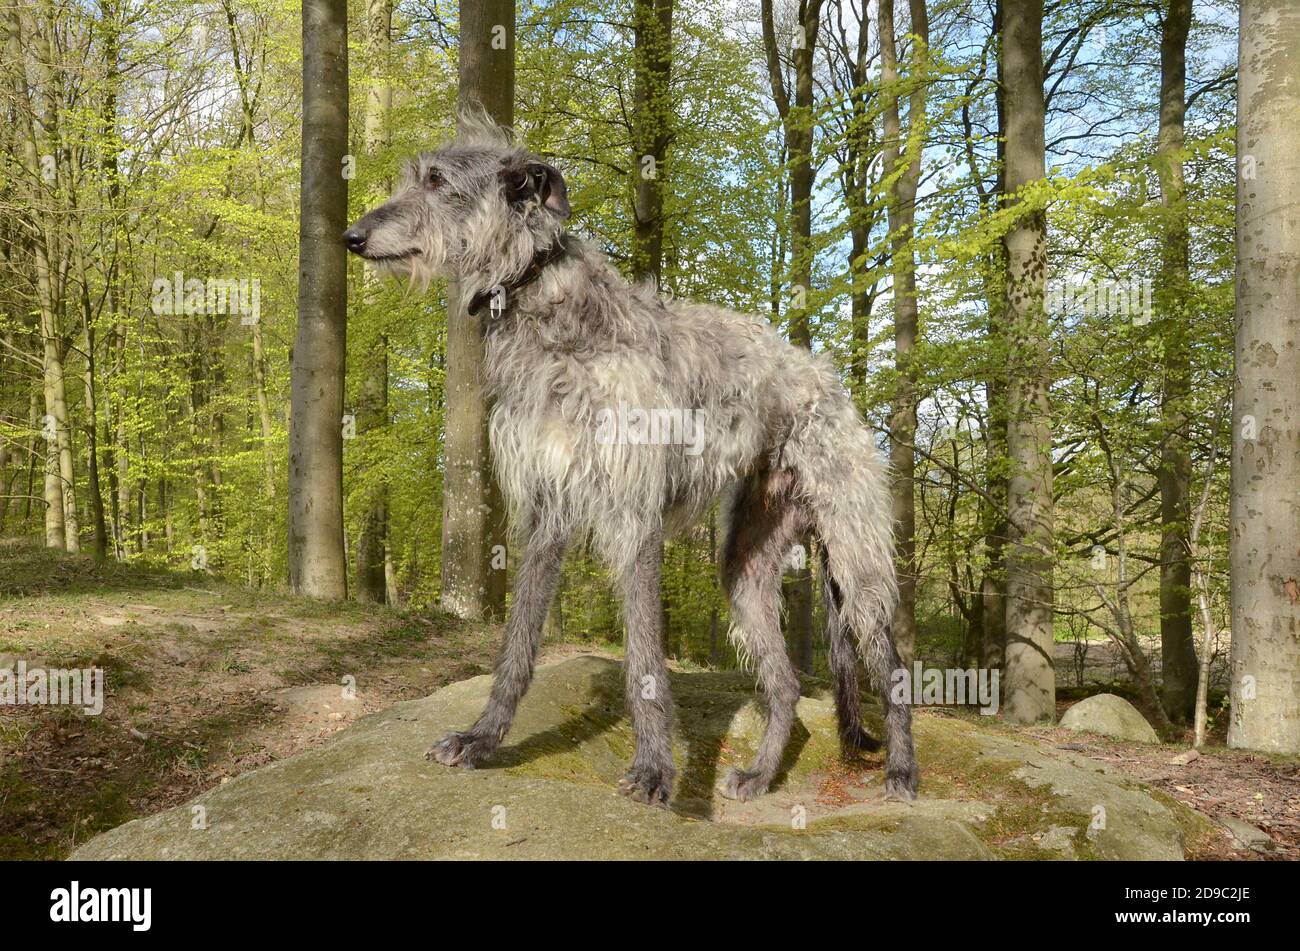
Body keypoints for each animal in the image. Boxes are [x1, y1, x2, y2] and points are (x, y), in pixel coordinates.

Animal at [340, 114, 920, 805]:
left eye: (435, 180)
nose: (351, 236)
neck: (552, 314)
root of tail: (827, 377)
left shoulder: (633, 514)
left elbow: (644, 657)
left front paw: (654, 769)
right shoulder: (546, 511)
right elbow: (517, 644)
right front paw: (483, 738)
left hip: (855, 560)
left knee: (893, 667)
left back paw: (902, 772)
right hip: (746, 563)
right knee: (782, 683)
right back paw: (759, 774)